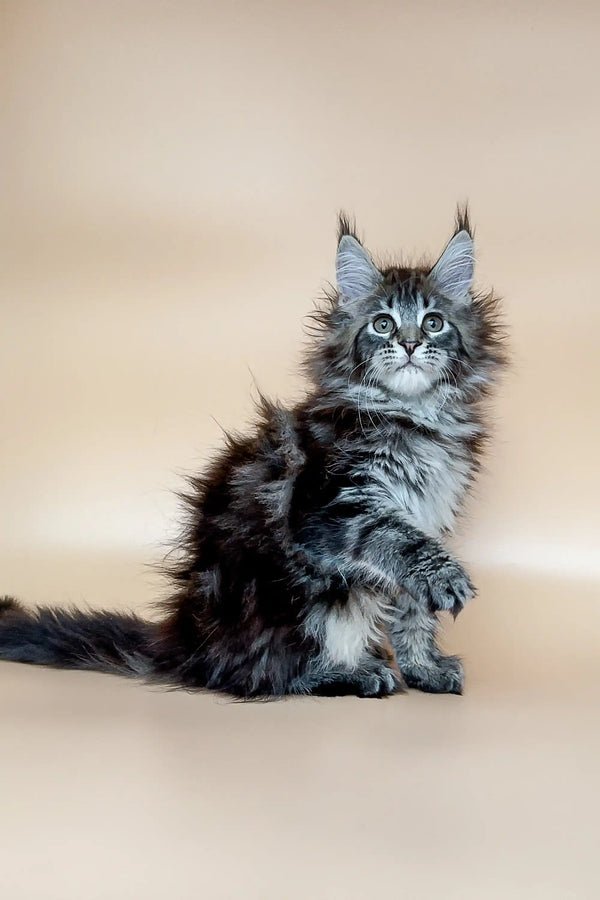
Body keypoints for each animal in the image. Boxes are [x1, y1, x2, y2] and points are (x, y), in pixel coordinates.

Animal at [0, 209, 506, 696]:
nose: (409, 344)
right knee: (261, 671)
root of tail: (187, 641)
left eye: (433, 322)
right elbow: (395, 539)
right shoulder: (330, 508)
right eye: (383, 324)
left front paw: (425, 669)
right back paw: (351, 673)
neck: (413, 416)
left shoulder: (427, 513)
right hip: (293, 594)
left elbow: (413, 611)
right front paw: (446, 579)